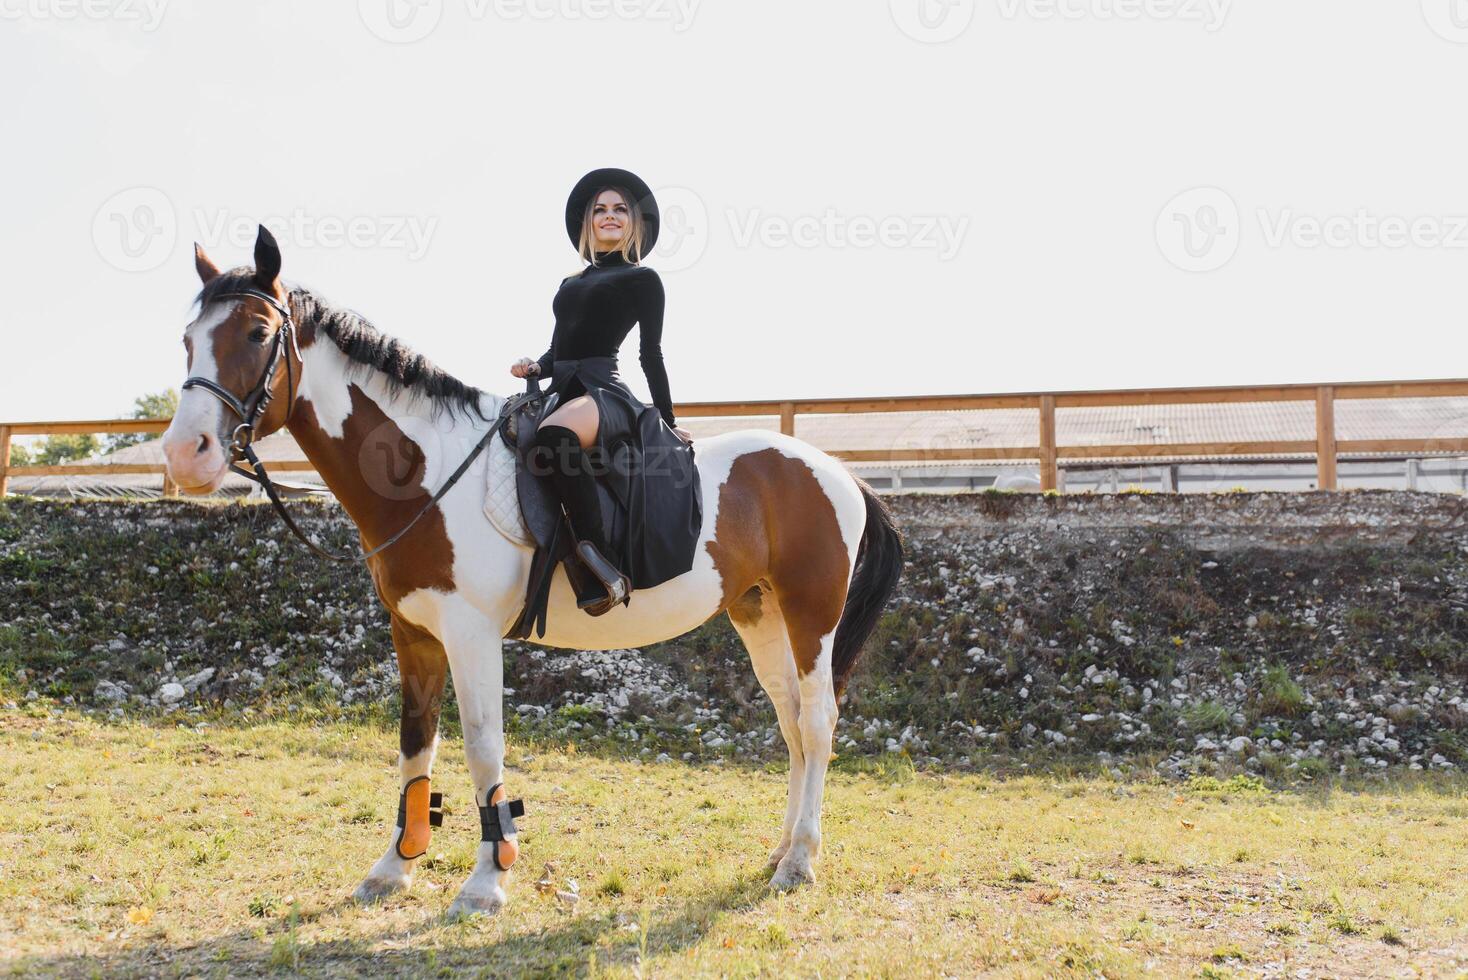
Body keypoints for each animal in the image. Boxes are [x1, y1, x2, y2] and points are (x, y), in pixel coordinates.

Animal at [157, 225, 892, 915]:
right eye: (188, 339)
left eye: (257, 332)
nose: (185, 455)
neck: (425, 471)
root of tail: (836, 473)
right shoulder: (414, 633)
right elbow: (415, 744)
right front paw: (394, 868)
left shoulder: (472, 634)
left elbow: (483, 747)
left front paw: (486, 880)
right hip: (759, 615)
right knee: (792, 724)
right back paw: (781, 850)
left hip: (810, 620)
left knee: (818, 722)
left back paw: (800, 861)